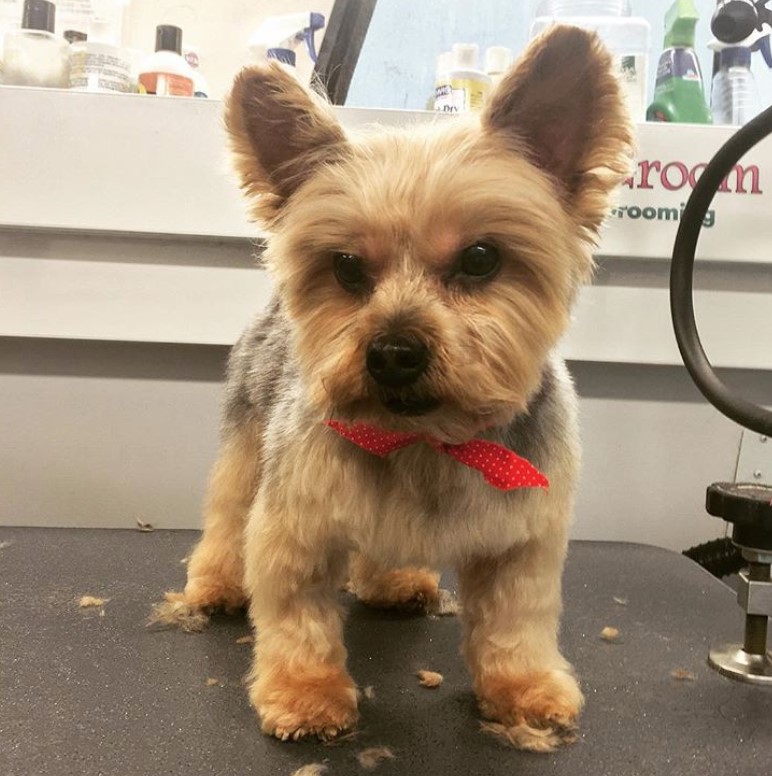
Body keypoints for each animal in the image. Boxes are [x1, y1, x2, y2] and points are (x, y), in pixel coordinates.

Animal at [158, 27, 632, 748]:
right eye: (347, 266)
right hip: (247, 436)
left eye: (482, 258)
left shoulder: (522, 540)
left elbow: (516, 621)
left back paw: (395, 581)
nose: (393, 352)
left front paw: (524, 689)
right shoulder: (296, 522)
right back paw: (215, 583)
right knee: (228, 508)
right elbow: (296, 614)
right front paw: (306, 696)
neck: (424, 440)